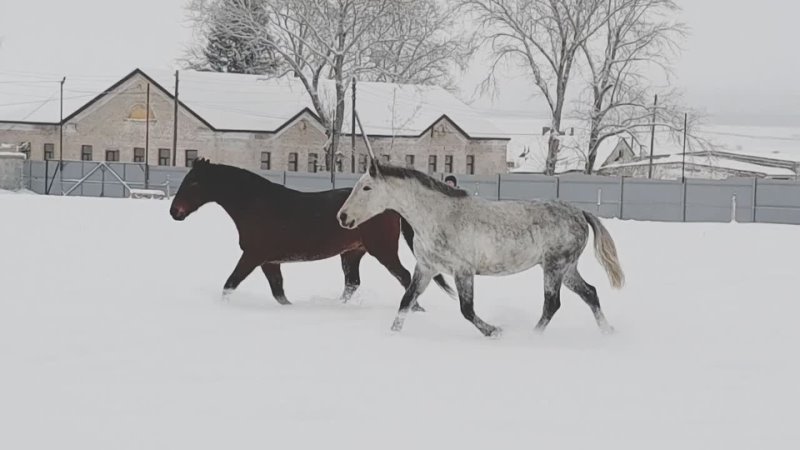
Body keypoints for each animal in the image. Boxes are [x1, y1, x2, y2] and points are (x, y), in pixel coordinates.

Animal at [170, 158, 454, 310]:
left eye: (193, 181)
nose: (174, 212)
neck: (254, 204)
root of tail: (391, 206)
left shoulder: (253, 256)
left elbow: (230, 284)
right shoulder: (269, 262)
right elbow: (279, 293)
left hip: (382, 251)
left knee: (404, 277)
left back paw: (416, 309)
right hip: (352, 253)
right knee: (352, 283)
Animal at [336, 162, 624, 338]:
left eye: (367, 187)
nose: (342, 217)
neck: (438, 217)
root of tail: (580, 212)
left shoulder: (463, 271)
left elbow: (467, 310)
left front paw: (495, 331)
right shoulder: (426, 268)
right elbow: (406, 301)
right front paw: (393, 333)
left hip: (555, 267)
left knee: (552, 304)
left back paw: (531, 336)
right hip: (566, 269)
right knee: (590, 293)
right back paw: (608, 331)